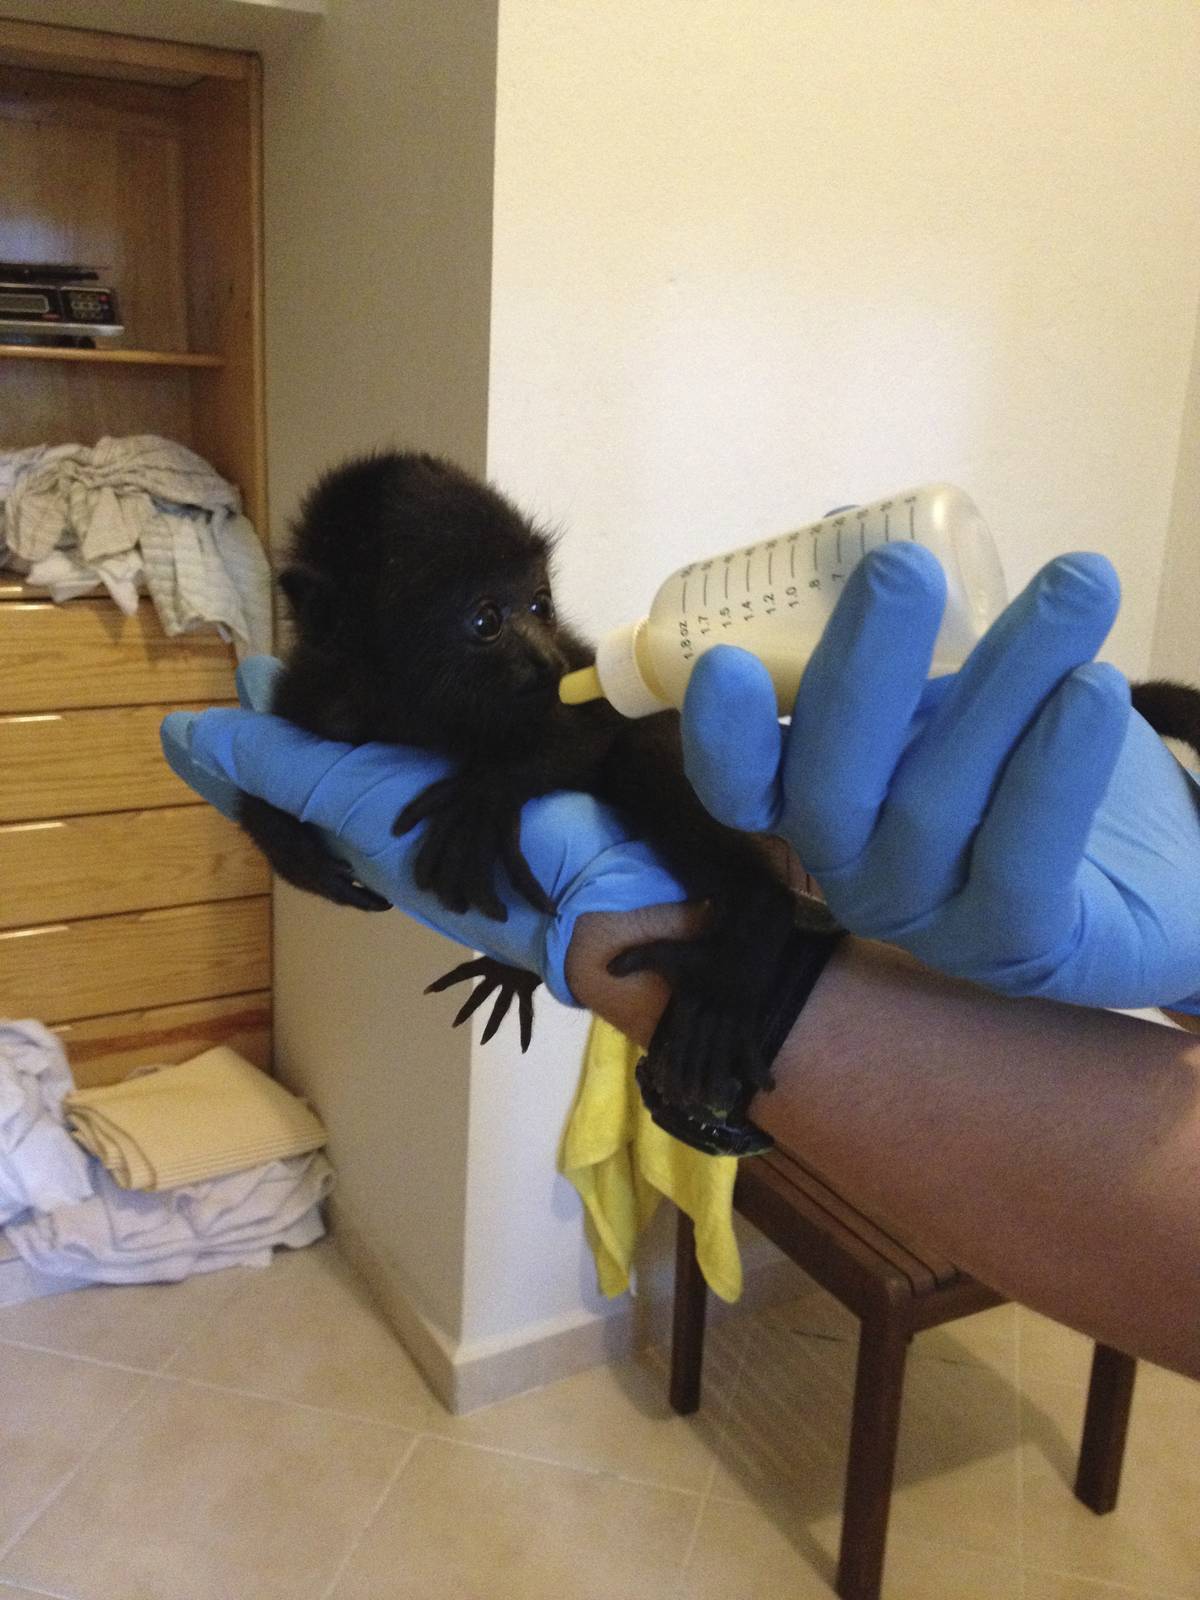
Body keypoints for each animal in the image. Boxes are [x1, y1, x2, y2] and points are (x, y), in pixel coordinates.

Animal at [238, 451, 834, 1141]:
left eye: (541, 602)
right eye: (486, 620)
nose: (545, 661)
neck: (413, 715)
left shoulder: (577, 673)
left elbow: (598, 729)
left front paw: (489, 797)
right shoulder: (315, 697)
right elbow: (266, 753)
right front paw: (284, 844)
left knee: (642, 756)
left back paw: (744, 940)